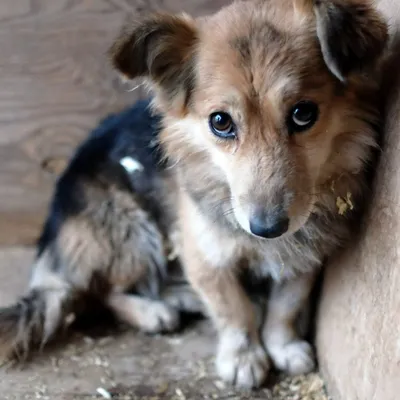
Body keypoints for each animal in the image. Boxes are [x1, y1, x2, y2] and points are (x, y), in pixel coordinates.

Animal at [0, 0, 388, 390]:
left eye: (304, 113)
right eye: (220, 122)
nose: (267, 228)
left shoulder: (306, 253)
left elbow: (286, 305)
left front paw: (283, 345)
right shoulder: (205, 252)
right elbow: (234, 310)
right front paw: (243, 356)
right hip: (132, 229)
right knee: (102, 292)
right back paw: (153, 311)